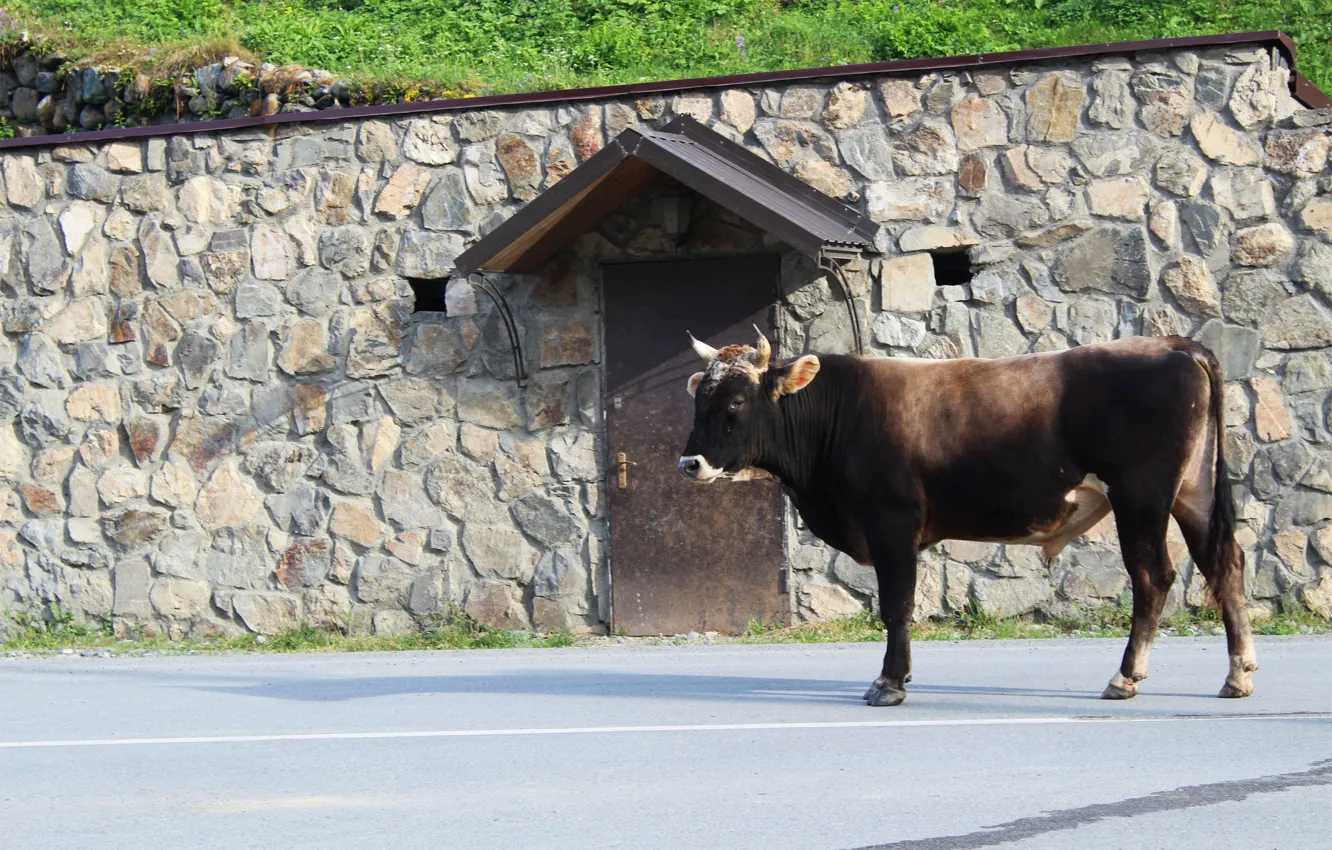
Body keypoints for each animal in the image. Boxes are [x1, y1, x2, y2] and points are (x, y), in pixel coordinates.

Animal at [678, 329, 1255, 706]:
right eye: (699, 400)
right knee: (1225, 563)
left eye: (736, 402)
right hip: (1193, 493)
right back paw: (1238, 674)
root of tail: (1174, 343)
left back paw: (1126, 678)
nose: (690, 463)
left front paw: (889, 684)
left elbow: (896, 606)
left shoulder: (892, 525)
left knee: (1153, 576)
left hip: (1141, 496)